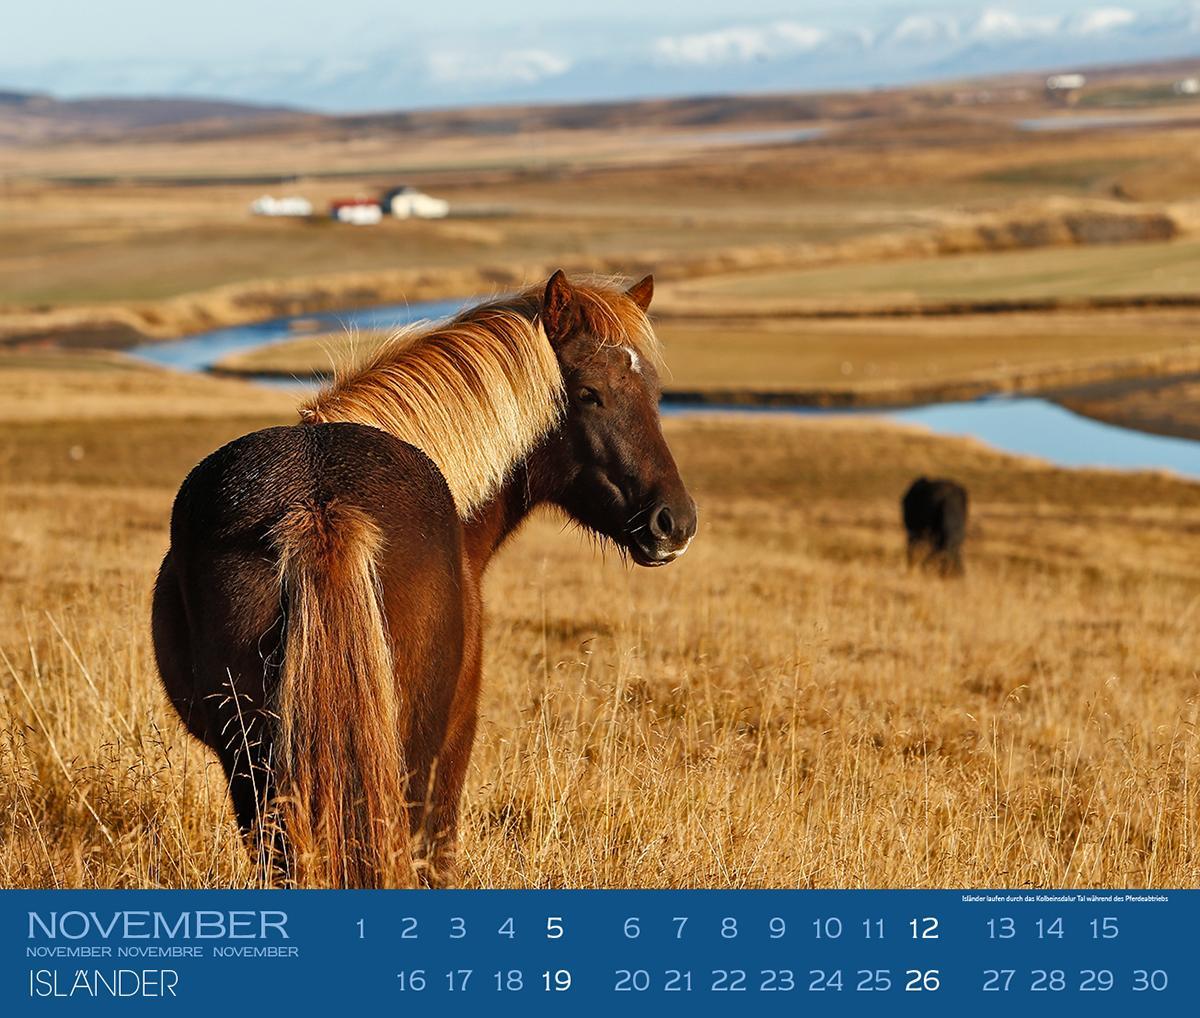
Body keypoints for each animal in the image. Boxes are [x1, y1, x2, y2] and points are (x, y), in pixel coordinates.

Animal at [152, 274, 696, 888]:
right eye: (588, 394)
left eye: (653, 393)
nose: (674, 522)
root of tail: (320, 506)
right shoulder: (455, 737)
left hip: (254, 765)